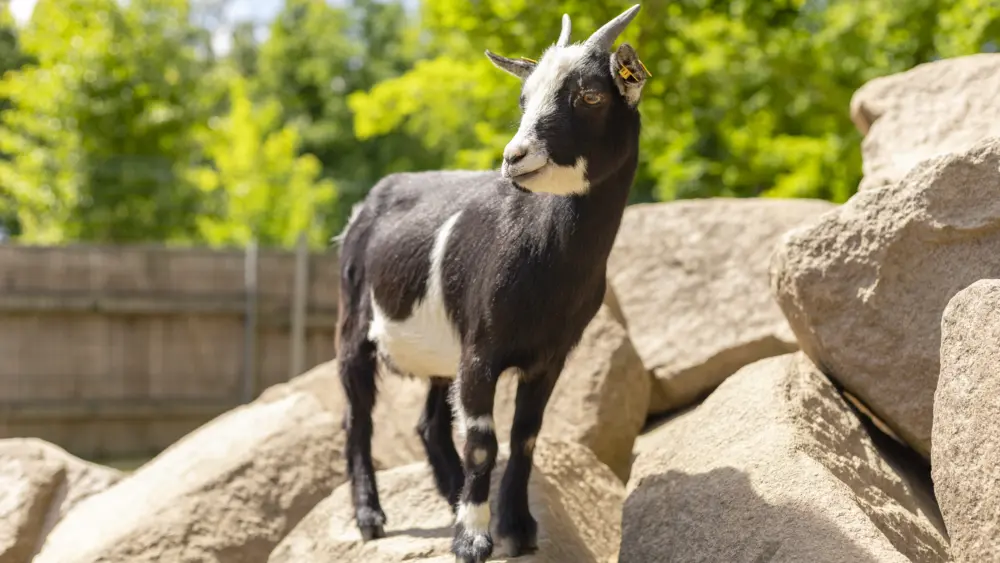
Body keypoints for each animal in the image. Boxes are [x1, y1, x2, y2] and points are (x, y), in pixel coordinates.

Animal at [334, 5, 648, 562]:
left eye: (589, 95)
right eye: (523, 99)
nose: (514, 157)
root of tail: (370, 202)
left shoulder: (549, 356)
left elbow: (525, 436)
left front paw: (517, 528)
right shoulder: (481, 350)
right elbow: (483, 441)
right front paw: (473, 539)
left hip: (443, 350)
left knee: (429, 422)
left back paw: (449, 494)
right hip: (354, 323)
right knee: (359, 417)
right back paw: (371, 518)